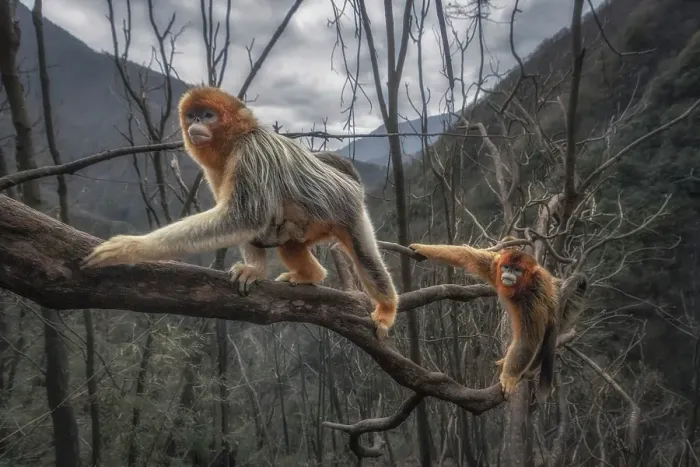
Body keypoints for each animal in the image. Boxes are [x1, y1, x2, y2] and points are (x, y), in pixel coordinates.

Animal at [82, 86, 398, 339]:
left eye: (208, 115)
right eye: (192, 116)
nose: (196, 123)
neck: (237, 139)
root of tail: (348, 182)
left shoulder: (251, 152)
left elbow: (244, 217)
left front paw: (131, 248)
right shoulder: (218, 168)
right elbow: (245, 222)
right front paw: (255, 270)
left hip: (349, 211)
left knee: (366, 257)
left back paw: (386, 308)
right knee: (288, 243)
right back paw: (310, 274)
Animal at [408, 241, 561, 400]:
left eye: (517, 270)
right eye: (507, 267)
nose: (509, 273)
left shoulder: (533, 297)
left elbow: (527, 340)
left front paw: (509, 376)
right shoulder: (494, 265)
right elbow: (465, 255)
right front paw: (422, 248)